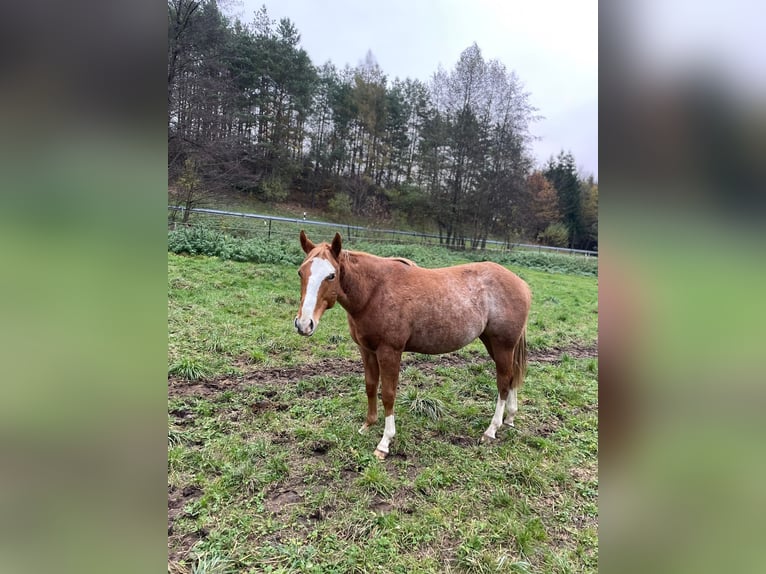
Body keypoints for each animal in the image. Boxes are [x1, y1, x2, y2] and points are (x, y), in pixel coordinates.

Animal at [296, 232, 536, 462]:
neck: (374, 292)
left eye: (331, 275)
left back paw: (491, 430)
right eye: (301, 273)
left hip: (503, 345)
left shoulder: (389, 352)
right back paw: (510, 418)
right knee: (512, 378)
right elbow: (371, 386)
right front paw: (368, 425)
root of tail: (522, 284)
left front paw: (385, 442)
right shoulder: (366, 350)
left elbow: (388, 394)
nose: (304, 324)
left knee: (503, 383)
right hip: (494, 344)